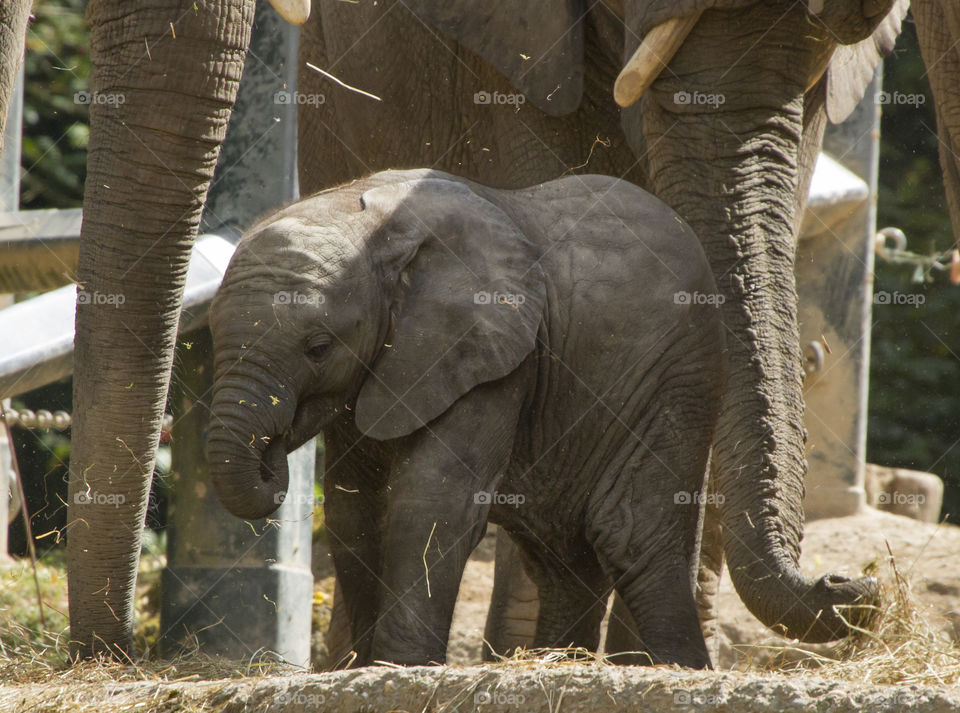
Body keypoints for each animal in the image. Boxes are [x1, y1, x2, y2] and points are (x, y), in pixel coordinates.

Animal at [206, 167, 724, 668]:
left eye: (318, 348)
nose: (273, 449)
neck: (367, 218)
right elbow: (353, 514)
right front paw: (359, 669)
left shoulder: (491, 354)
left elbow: (432, 502)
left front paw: (400, 668)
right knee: (561, 556)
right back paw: (562, 660)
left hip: (675, 376)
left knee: (628, 531)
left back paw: (676, 668)